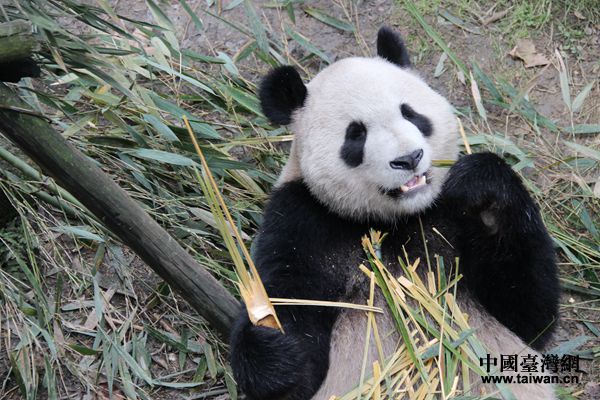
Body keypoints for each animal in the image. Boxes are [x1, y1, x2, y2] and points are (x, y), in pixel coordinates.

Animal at [229, 26, 556, 398]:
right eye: (355, 135)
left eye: (410, 113)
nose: (408, 158)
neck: (393, 220)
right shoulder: (302, 220)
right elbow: (294, 354)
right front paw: (275, 347)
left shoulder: (448, 219)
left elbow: (529, 313)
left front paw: (481, 186)